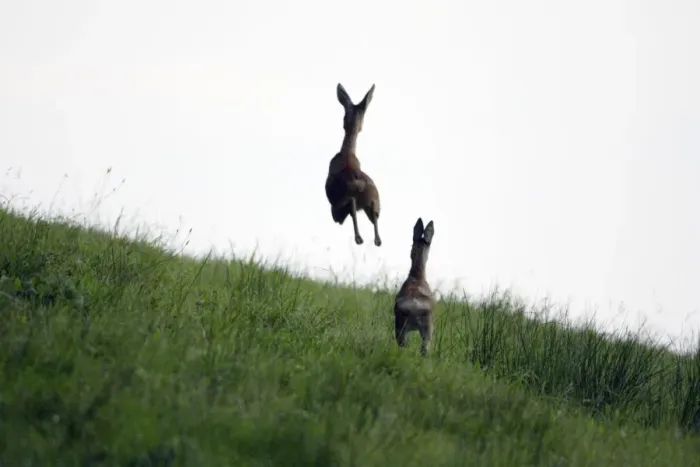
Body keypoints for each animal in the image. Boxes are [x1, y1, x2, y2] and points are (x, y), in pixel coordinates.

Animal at [324, 83, 382, 247]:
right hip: (375, 203)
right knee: (375, 222)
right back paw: (374, 240)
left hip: (341, 202)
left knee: (350, 205)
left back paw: (359, 238)